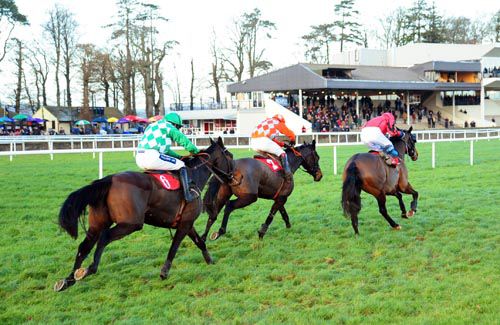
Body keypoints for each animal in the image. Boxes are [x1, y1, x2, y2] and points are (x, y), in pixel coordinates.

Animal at [54, 137, 234, 292]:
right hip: (131, 224)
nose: (232, 176)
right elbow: (174, 248)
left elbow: (200, 243)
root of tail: (109, 179)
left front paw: (210, 261)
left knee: (84, 246)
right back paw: (89, 269)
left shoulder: (187, 223)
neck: (193, 176)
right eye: (230, 156)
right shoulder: (185, 224)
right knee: (104, 238)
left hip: (97, 224)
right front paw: (164, 272)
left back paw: (67, 280)